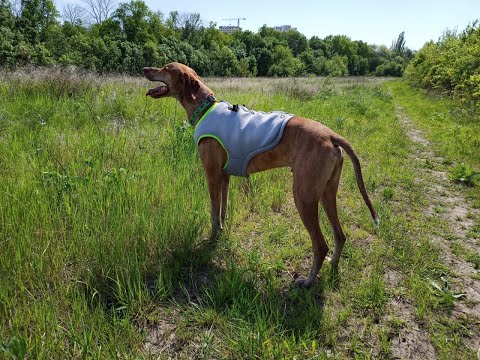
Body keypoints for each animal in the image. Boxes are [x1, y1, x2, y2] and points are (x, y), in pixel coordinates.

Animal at [143, 61, 378, 286]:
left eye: (166, 68)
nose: (145, 68)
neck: (205, 106)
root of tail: (331, 135)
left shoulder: (212, 176)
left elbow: (213, 214)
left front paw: (211, 241)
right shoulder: (225, 177)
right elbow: (222, 211)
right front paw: (221, 233)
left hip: (304, 197)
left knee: (321, 245)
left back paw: (308, 281)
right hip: (327, 194)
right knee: (340, 235)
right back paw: (333, 265)